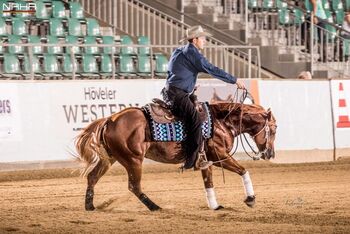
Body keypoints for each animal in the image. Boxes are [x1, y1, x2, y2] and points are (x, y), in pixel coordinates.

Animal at [75, 101, 278, 211]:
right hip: (133, 160)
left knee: (92, 177)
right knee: (134, 186)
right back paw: (155, 207)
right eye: (275, 128)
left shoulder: (206, 160)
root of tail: (110, 119)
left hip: (110, 158)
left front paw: (214, 205)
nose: (270, 153)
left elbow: (208, 183)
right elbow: (243, 170)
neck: (221, 122)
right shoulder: (219, 155)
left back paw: (90, 206)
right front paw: (250, 199)